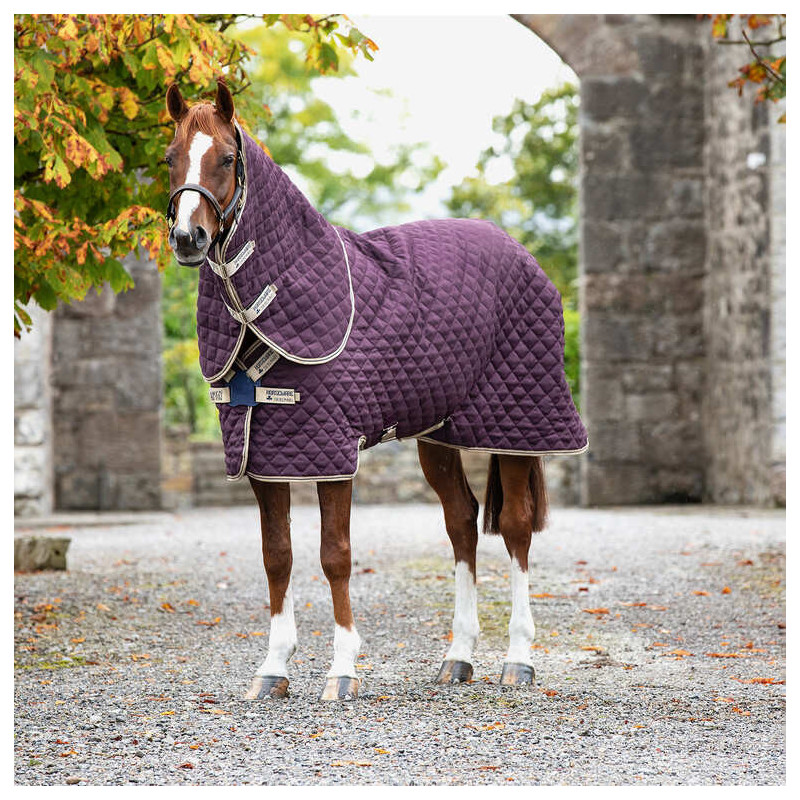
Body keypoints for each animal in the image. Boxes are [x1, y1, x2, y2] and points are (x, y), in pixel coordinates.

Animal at [163, 80, 587, 700]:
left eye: (224, 158)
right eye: (171, 157)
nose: (188, 238)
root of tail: (521, 254)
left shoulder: (331, 451)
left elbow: (335, 555)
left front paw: (342, 670)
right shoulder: (266, 452)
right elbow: (277, 555)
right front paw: (273, 670)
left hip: (518, 427)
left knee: (513, 527)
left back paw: (518, 659)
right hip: (439, 435)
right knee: (461, 521)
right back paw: (458, 658)